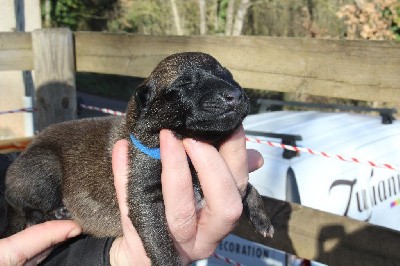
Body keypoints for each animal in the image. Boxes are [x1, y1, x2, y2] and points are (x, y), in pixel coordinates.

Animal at [3, 52, 272, 266]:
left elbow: (249, 188)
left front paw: (261, 217)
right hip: (43, 167)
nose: (235, 94)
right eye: (185, 83)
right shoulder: (144, 197)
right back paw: (53, 213)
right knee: (23, 205)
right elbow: (159, 242)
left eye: (229, 75)